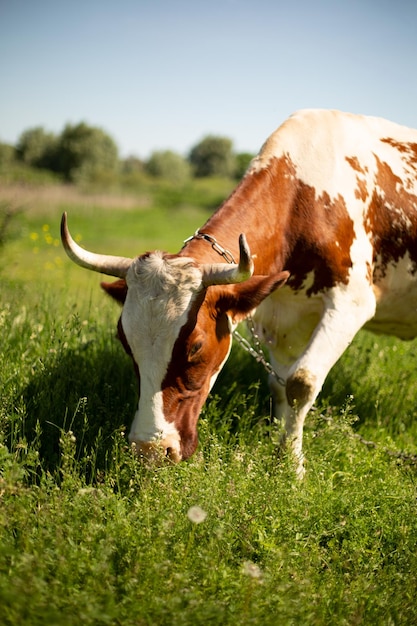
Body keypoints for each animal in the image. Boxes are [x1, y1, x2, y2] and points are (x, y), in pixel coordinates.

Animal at [61, 109, 416, 476]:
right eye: (125, 341)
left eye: (196, 346)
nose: (151, 450)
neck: (306, 198)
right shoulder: (278, 314)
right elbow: (279, 383)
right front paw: (279, 443)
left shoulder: (351, 302)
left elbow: (300, 382)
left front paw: (292, 466)